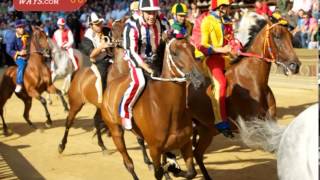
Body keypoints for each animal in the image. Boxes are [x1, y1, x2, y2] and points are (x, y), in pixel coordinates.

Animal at [100, 37, 204, 179]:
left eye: (193, 50)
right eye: (175, 53)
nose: (199, 79)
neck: (168, 109)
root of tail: (111, 84)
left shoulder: (185, 142)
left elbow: (191, 172)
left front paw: (172, 168)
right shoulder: (155, 149)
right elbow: (158, 172)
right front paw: (169, 168)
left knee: (140, 141)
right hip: (115, 131)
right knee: (128, 163)